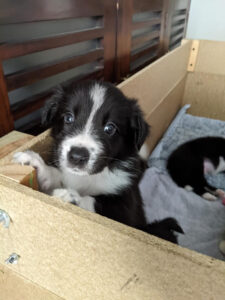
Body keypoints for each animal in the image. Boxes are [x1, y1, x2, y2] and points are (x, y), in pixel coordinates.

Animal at [13, 80, 183, 244]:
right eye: (68, 118)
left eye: (110, 128)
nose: (77, 156)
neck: (90, 177)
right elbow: (56, 175)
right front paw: (37, 164)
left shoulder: (127, 207)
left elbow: (98, 203)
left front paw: (72, 198)